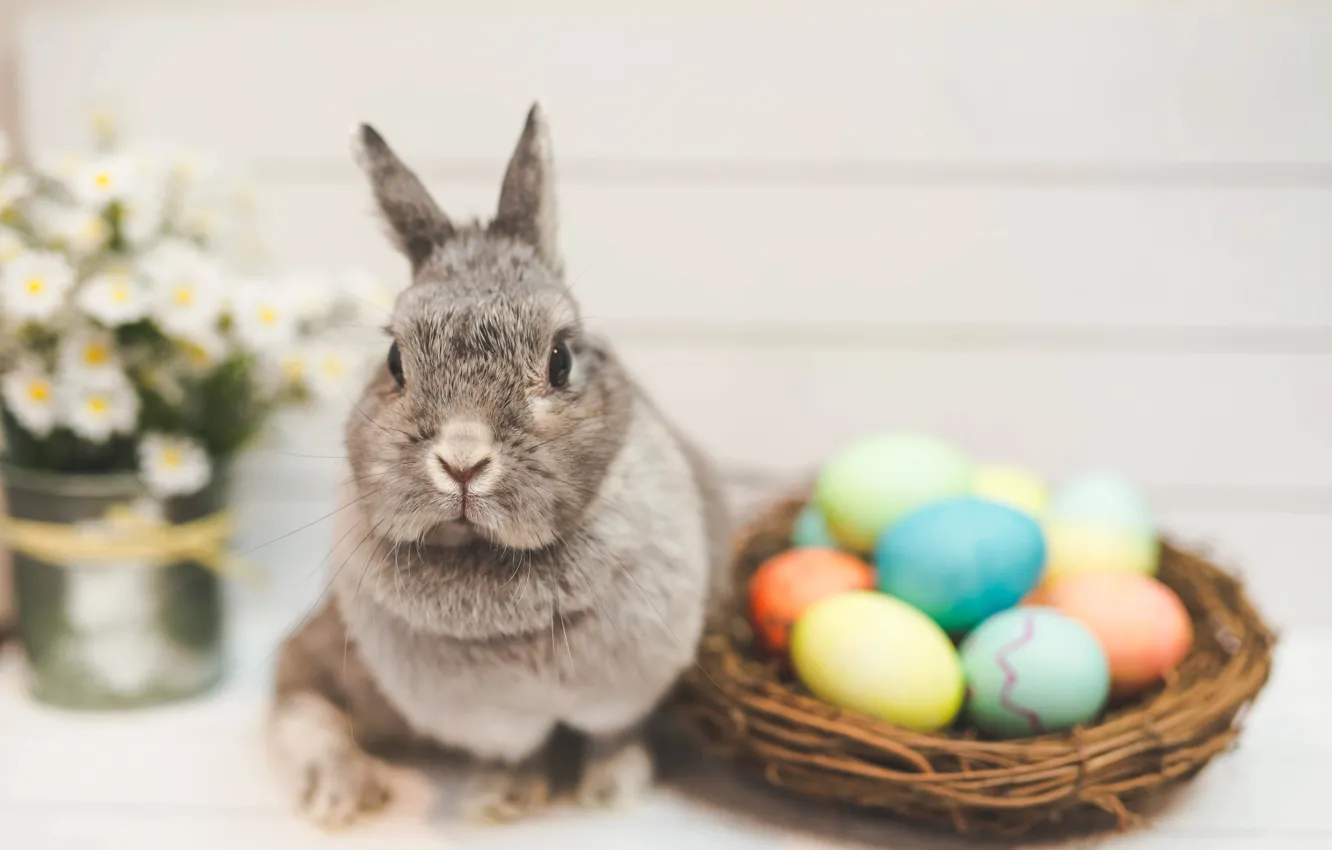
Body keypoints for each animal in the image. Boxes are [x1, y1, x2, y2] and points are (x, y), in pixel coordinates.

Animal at [267, 104, 732, 830]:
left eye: (561, 360)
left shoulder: (627, 689)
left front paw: (609, 790)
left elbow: (613, 734)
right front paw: (502, 799)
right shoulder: (493, 721)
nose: (461, 463)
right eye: (395, 362)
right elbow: (517, 752)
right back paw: (340, 791)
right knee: (295, 689)